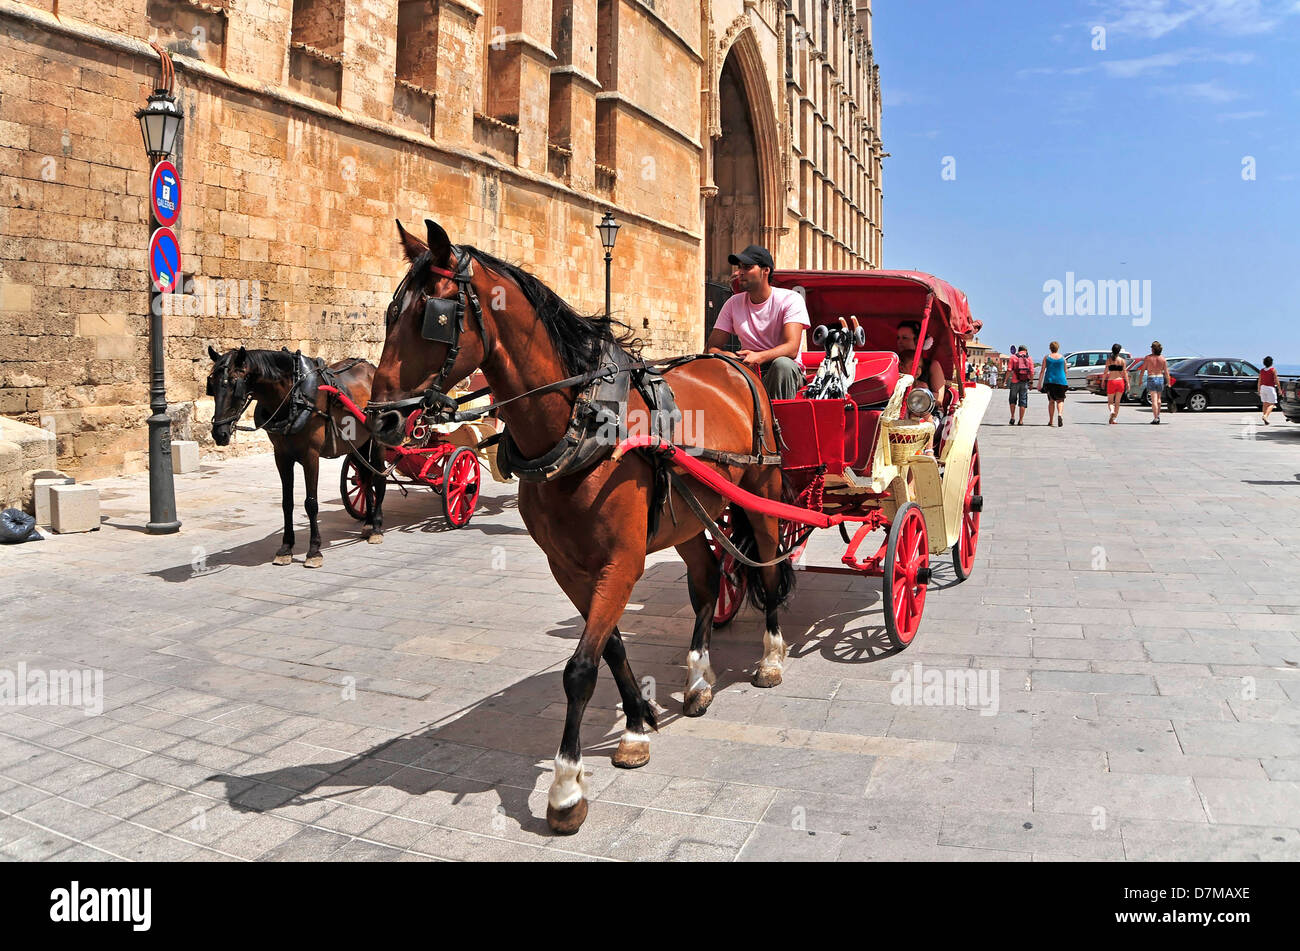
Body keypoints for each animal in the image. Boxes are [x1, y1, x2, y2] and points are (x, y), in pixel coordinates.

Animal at [364, 220, 790, 831]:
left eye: (435, 315)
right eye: (389, 313)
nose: (381, 420)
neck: (580, 421)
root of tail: (734, 363)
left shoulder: (622, 561)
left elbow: (580, 669)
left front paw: (566, 788)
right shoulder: (567, 565)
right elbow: (609, 648)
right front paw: (637, 723)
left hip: (762, 489)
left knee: (771, 569)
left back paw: (772, 657)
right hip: (687, 516)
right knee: (708, 582)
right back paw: (698, 679)